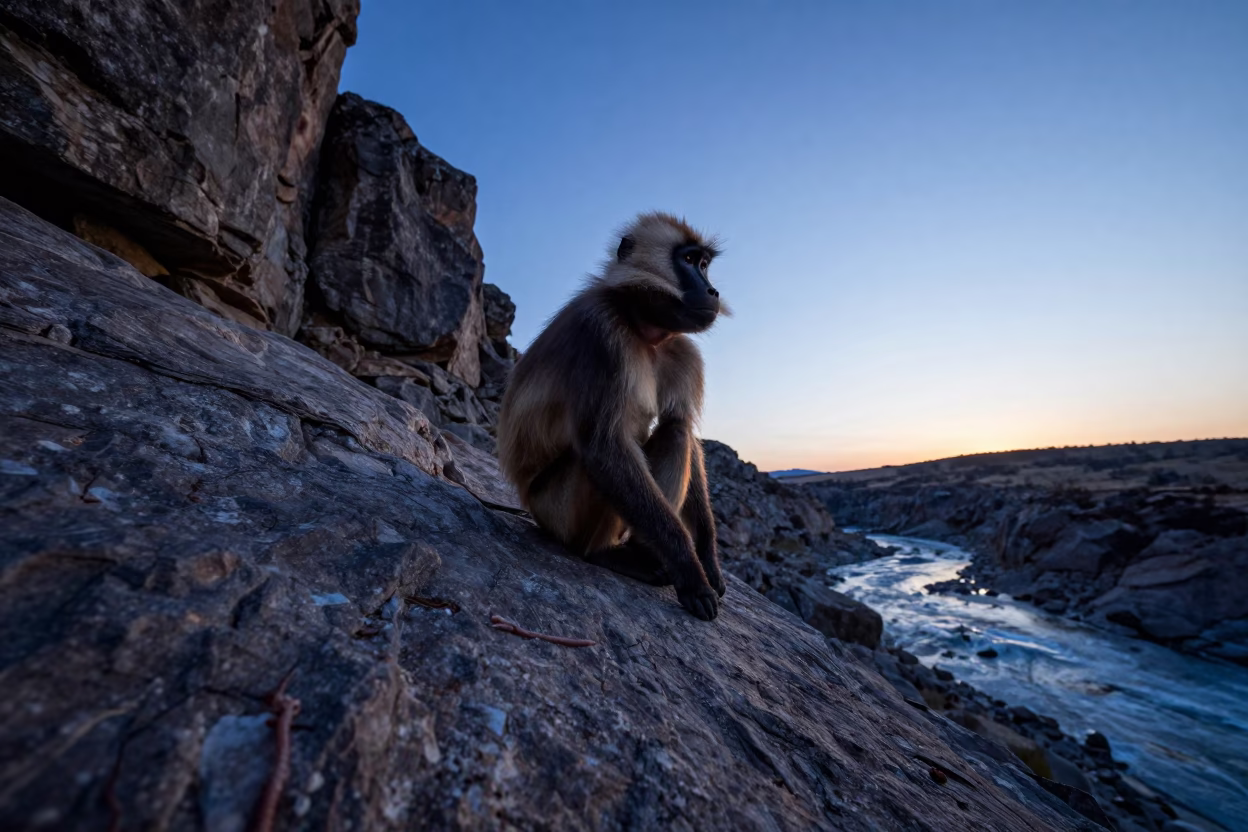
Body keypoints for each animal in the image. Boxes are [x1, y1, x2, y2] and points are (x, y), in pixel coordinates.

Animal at [497, 212, 728, 621]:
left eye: (704, 264)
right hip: (557, 510)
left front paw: (706, 559)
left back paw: (643, 552)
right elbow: (604, 447)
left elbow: (680, 423)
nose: (712, 291)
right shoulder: (600, 334)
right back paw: (604, 554)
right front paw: (689, 570)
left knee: (675, 432)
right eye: (688, 261)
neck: (642, 326)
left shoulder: (681, 351)